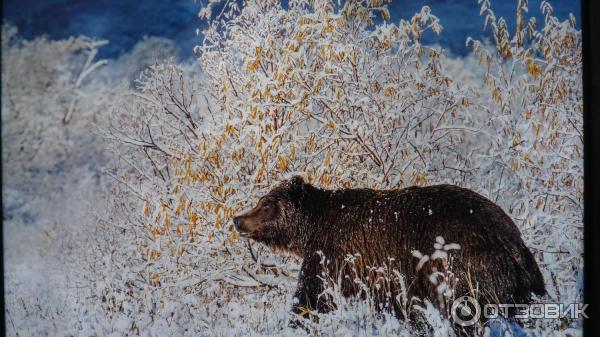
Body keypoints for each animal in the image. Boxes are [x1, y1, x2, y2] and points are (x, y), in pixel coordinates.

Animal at [232, 176, 548, 326]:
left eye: (265, 203)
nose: (237, 219)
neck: (313, 227)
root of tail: (512, 237)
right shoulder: (380, 276)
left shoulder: (334, 255)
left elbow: (313, 295)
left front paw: (299, 319)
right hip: (519, 281)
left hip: (460, 262)